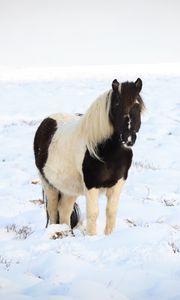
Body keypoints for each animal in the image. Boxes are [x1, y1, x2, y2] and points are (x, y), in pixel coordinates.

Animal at [33, 78, 145, 236]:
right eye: (117, 104)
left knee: (64, 210)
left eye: (137, 104)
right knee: (53, 211)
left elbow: (111, 212)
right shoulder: (91, 184)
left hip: (69, 188)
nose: (129, 138)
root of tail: (47, 121)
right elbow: (93, 213)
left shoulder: (118, 183)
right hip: (49, 184)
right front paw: (92, 237)